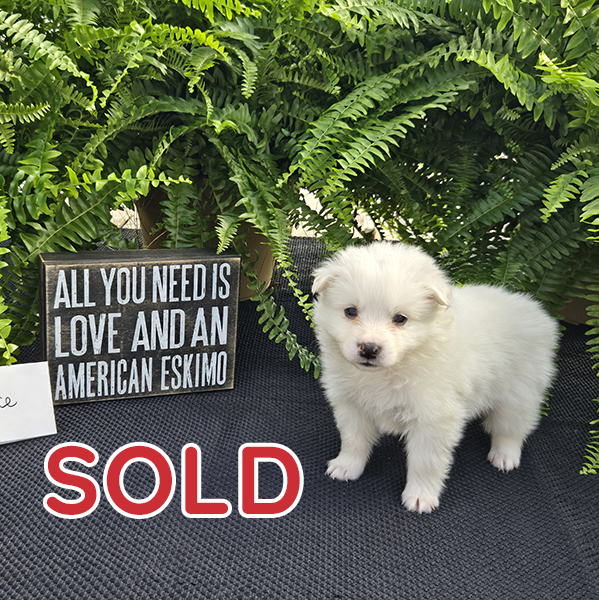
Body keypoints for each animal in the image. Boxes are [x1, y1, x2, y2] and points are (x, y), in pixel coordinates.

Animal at [312, 242, 558, 513]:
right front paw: (347, 466)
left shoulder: (433, 420)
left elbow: (424, 462)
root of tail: (534, 310)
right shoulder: (351, 405)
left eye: (400, 319)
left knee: (512, 428)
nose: (368, 349)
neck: (394, 368)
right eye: (350, 311)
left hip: (519, 391)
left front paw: (420, 496)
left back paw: (505, 456)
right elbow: (353, 440)